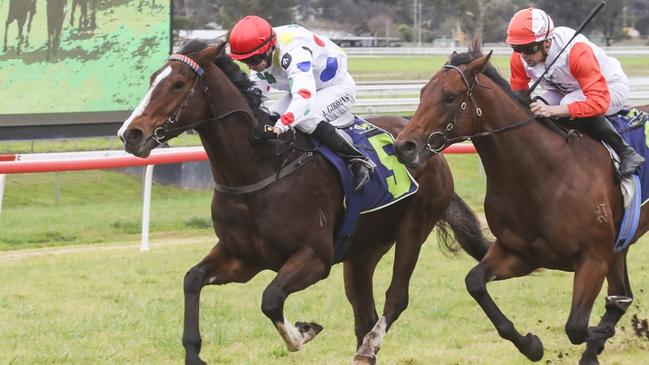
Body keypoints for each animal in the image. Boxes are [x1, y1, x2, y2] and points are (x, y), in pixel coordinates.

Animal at [119, 41, 488, 362]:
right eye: (153, 80)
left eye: (177, 84)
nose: (130, 134)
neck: (260, 169)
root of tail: (427, 147)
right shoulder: (242, 258)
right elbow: (193, 278)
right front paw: (194, 352)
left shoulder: (314, 258)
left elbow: (270, 299)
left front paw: (303, 332)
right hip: (363, 251)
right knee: (364, 315)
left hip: (413, 228)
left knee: (394, 299)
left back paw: (370, 343)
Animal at [392, 39, 648, 364]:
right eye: (423, 91)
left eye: (449, 96)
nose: (404, 146)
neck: (544, 174)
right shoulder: (520, 253)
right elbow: (474, 282)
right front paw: (531, 345)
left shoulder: (593, 257)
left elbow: (577, 327)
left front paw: (599, 336)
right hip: (618, 247)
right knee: (621, 295)